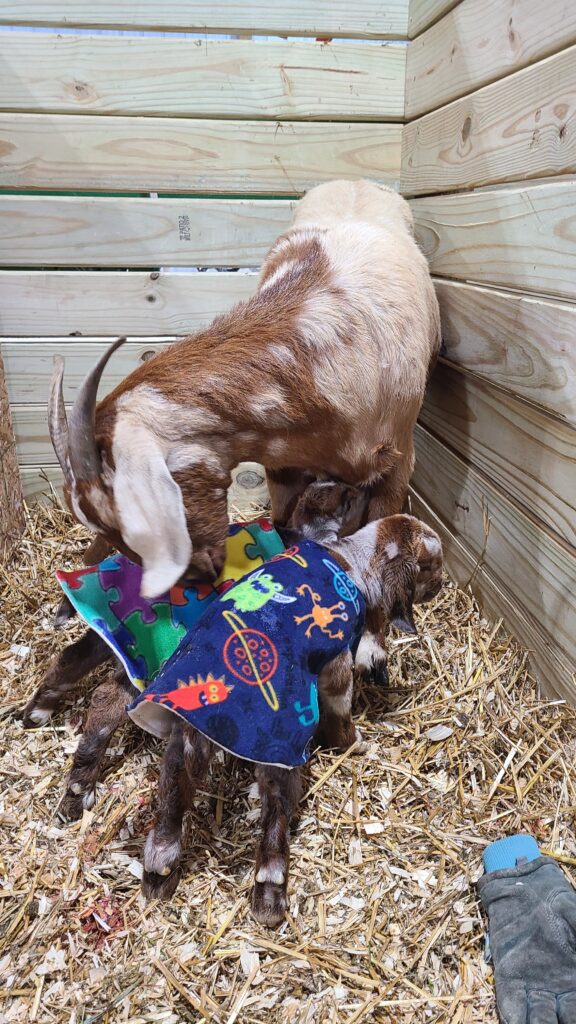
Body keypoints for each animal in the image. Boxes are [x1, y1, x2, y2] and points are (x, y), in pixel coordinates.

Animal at [49, 180, 436, 618]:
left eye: (140, 519)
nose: (198, 579)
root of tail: (355, 182)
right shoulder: (282, 466)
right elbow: (285, 526)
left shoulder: (398, 460)